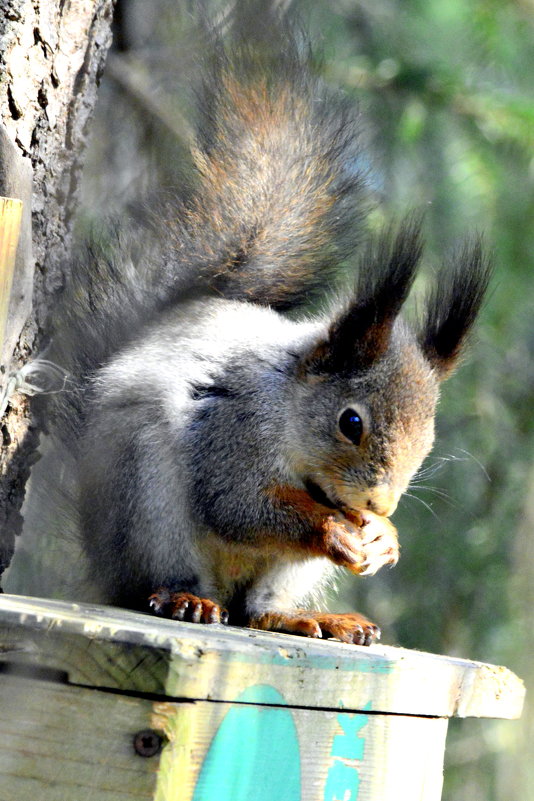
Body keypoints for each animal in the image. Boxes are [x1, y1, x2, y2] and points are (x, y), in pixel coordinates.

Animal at [40, 1, 494, 644]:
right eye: (350, 422)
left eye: (429, 438)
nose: (380, 505)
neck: (287, 402)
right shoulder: (231, 430)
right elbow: (239, 503)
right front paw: (335, 530)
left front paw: (385, 540)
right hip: (144, 493)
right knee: (164, 582)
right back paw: (184, 600)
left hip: (275, 575)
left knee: (256, 609)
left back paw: (311, 617)